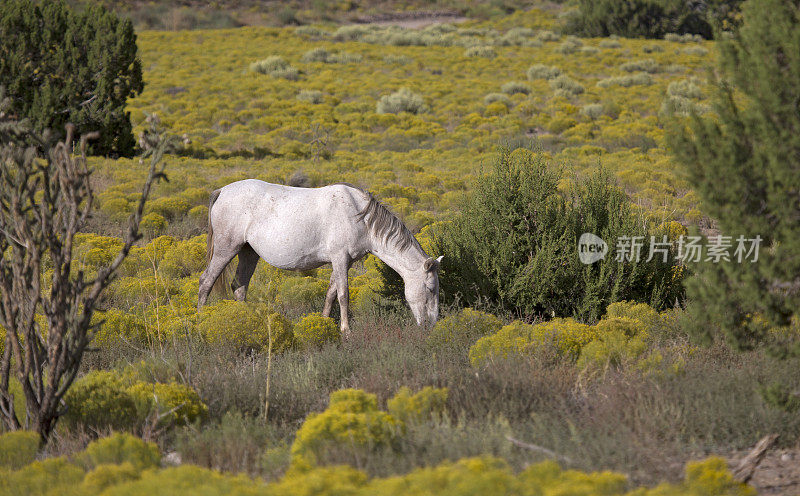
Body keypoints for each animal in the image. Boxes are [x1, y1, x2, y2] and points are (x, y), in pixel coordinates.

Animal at [197, 179, 440, 338]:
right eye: (430, 289)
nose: (431, 325)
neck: (359, 216)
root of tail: (222, 191)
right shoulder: (340, 258)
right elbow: (343, 294)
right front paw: (346, 331)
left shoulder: (344, 262)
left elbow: (331, 293)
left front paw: (323, 323)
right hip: (226, 249)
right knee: (206, 282)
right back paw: (199, 322)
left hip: (248, 252)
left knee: (239, 286)